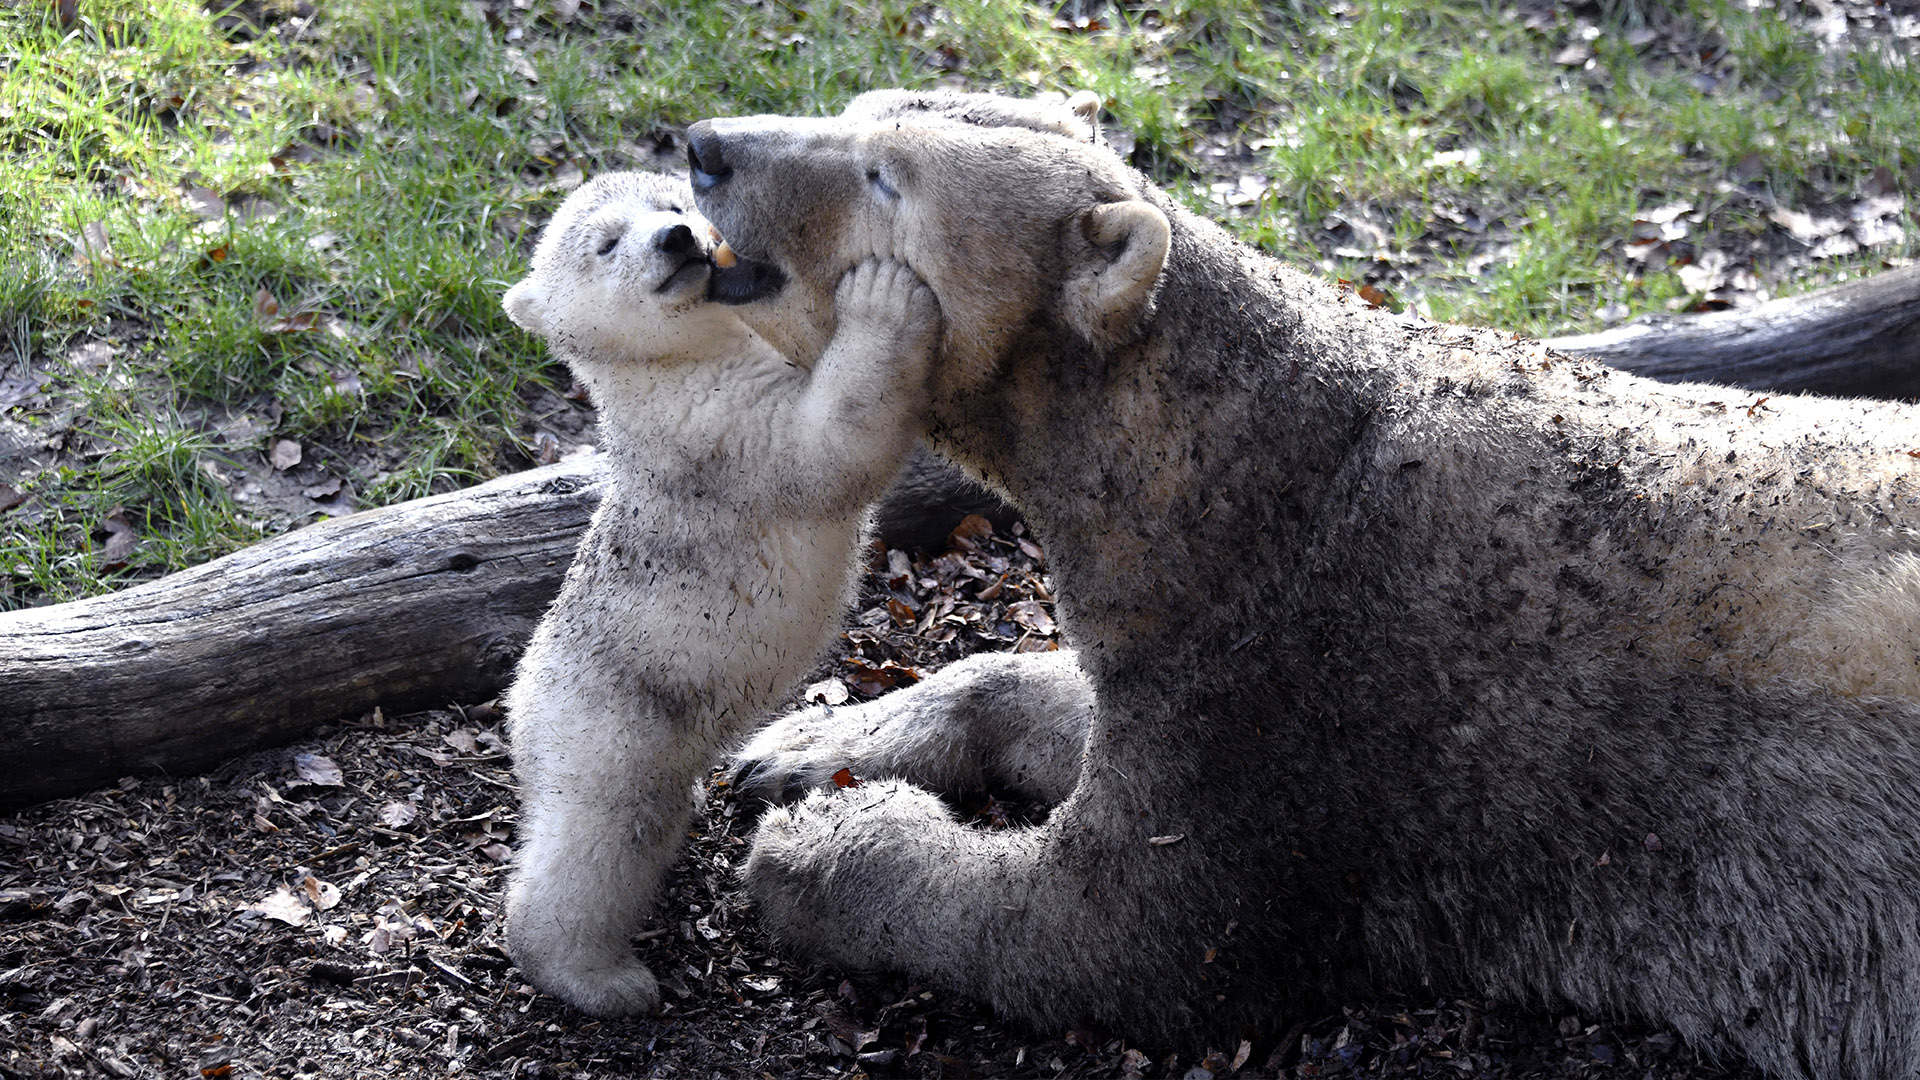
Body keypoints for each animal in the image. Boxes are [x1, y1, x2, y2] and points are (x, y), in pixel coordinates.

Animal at [687, 90, 1920, 1068]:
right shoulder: (1214, 631)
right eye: (855, 109)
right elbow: (1064, 701)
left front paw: (821, 843)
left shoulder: (1327, 687)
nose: (706, 145)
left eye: (886, 177)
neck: (1265, 458)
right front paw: (812, 741)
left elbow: (1113, 939)